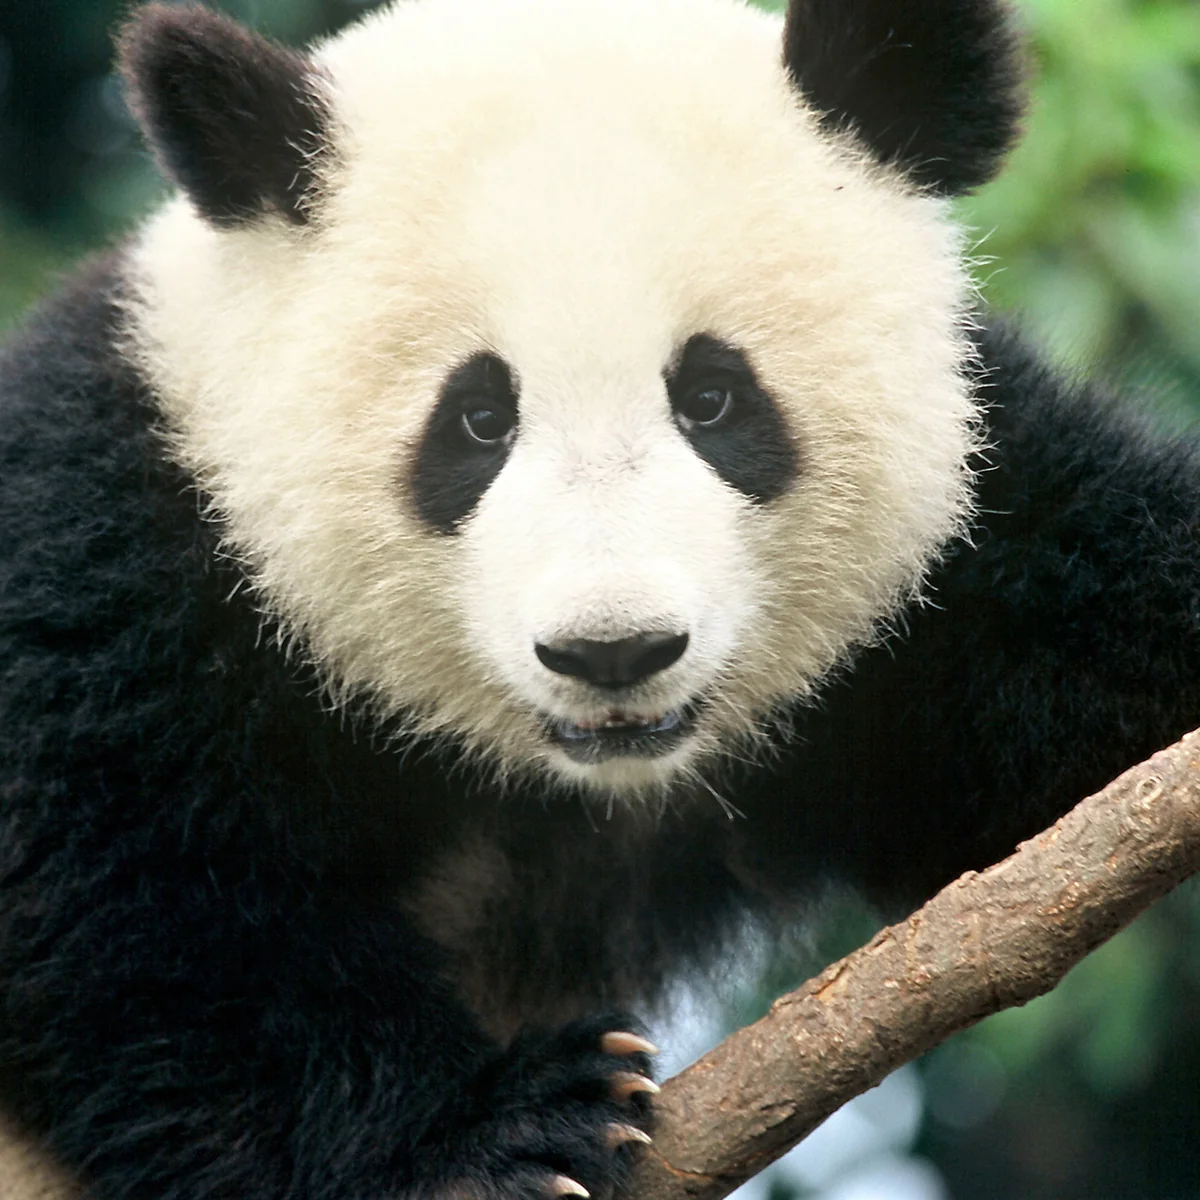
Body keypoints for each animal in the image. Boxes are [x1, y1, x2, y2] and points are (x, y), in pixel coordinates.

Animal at [2, 0, 1200, 1196]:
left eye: (713, 398)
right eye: (478, 420)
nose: (613, 651)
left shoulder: (958, 558)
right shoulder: (115, 550)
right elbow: (141, 914)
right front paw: (493, 1133)